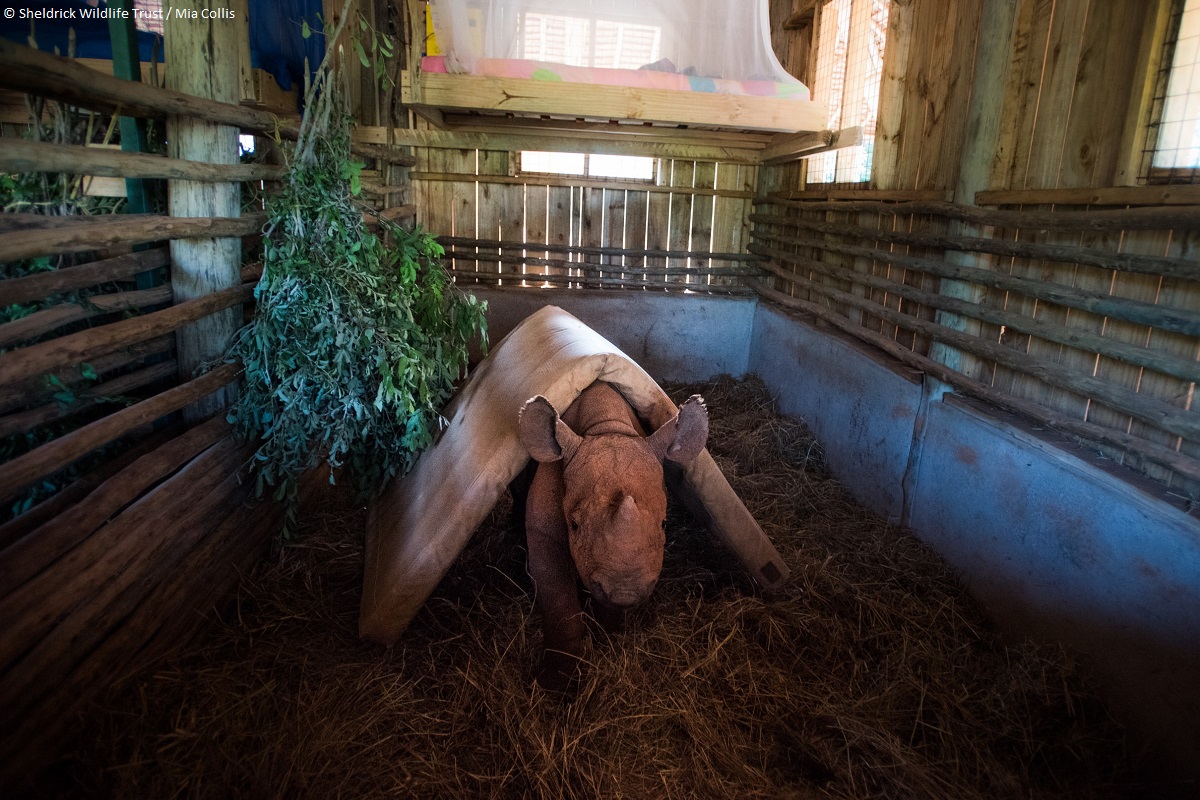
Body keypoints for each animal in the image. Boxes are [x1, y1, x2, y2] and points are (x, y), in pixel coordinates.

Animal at [517, 380, 709, 693]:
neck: (605, 427)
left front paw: (611, 631)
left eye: (664, 524)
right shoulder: (543, 525)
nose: (624, 592)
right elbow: (558, 600)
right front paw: (556, 684)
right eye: (573, 525)